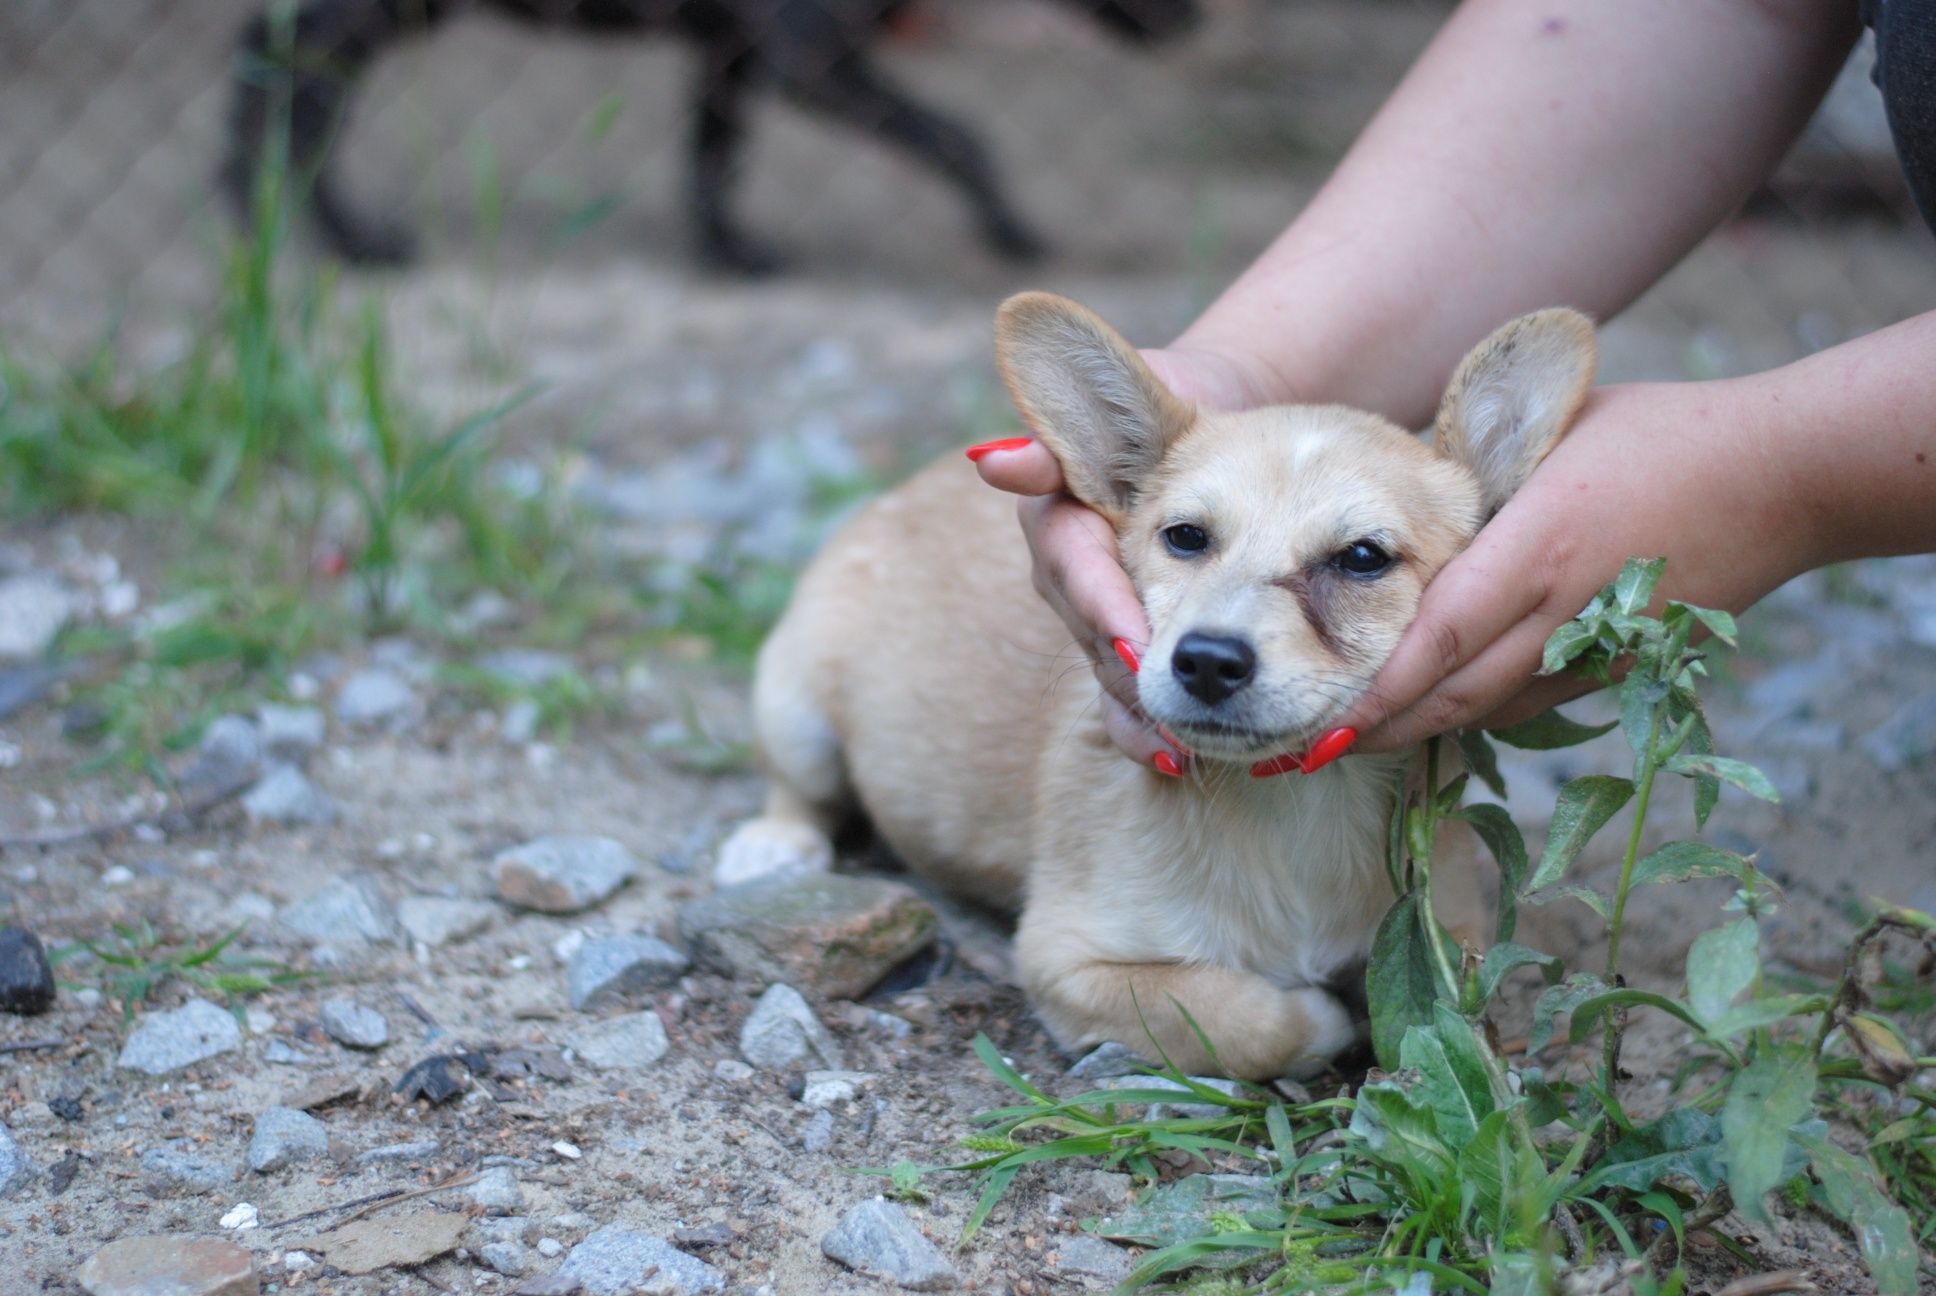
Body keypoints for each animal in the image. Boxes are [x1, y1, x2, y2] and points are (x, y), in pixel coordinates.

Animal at [222, 0, 1192, 271]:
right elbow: (959, 133)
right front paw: (1014, 234)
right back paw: (343, 238)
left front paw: (730, 254)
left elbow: (714, 160)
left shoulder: (736, 53)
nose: (1198, 17)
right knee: (298, 95)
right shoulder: (807, 55)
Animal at [720, 296, 1595, 1084]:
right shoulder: (1069, 962)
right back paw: (773, 846)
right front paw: (1318, 1018)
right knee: (799, 788)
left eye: (1362, 558)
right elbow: (1244, 1014)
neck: (1291, 806)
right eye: (1185, 538)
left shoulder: (1455, 940)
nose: (1205, 661)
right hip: (797, 714)